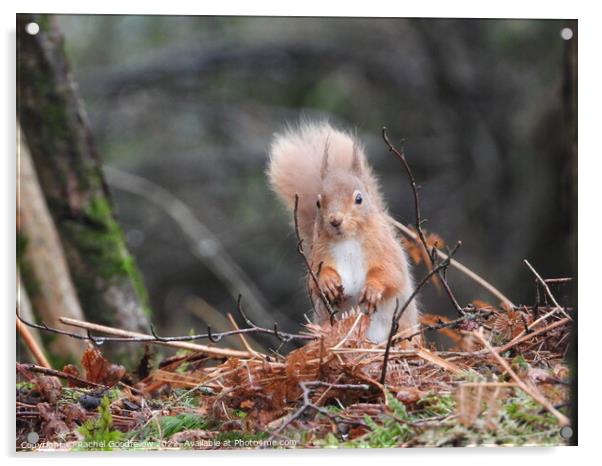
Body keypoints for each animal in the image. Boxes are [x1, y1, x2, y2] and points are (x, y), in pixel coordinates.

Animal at [268, 122, 418, 344]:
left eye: (359, 199)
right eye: (318, 202)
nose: (335, 220)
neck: (348, 241)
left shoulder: (385, 249)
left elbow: (392, 274)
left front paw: (373, 289)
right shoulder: (318, 255)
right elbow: (313, 282)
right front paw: (328, 282)